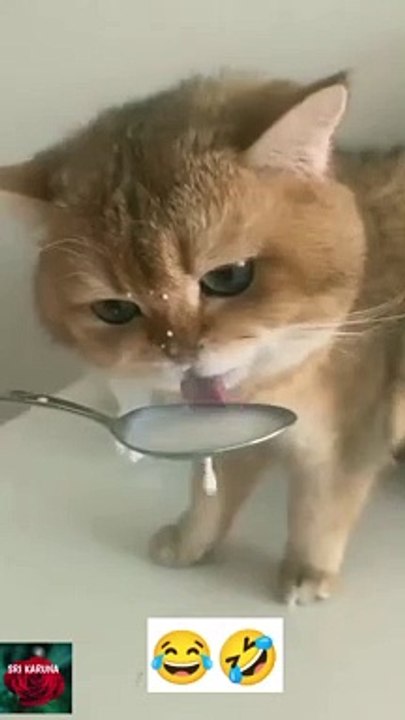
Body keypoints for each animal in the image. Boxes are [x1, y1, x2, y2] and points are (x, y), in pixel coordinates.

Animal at [0, 71, 404, 605]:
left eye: (229, 277)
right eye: (115, 310)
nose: (180, 352)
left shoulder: (350, 437)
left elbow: (320, 508)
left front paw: (307, 570)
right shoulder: (232, 430)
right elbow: (209, 492)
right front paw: (192, 541)